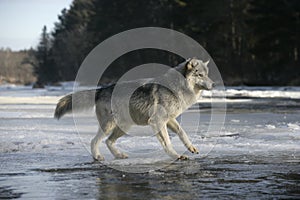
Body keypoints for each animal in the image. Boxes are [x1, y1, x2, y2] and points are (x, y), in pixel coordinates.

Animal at [54, 58, 213, 161]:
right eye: (200, 75)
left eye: (207, 74)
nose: (213, 84)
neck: (177, 88)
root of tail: (101, 89)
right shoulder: (157, 121)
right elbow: (167, 142)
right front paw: (176, 156)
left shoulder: (169, 120)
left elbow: (182, 133)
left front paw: (191, 148)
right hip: (109, 126)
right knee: (95, 141)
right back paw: (98, 157)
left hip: (124, 127)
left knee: (108, 142)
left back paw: (119, 155)